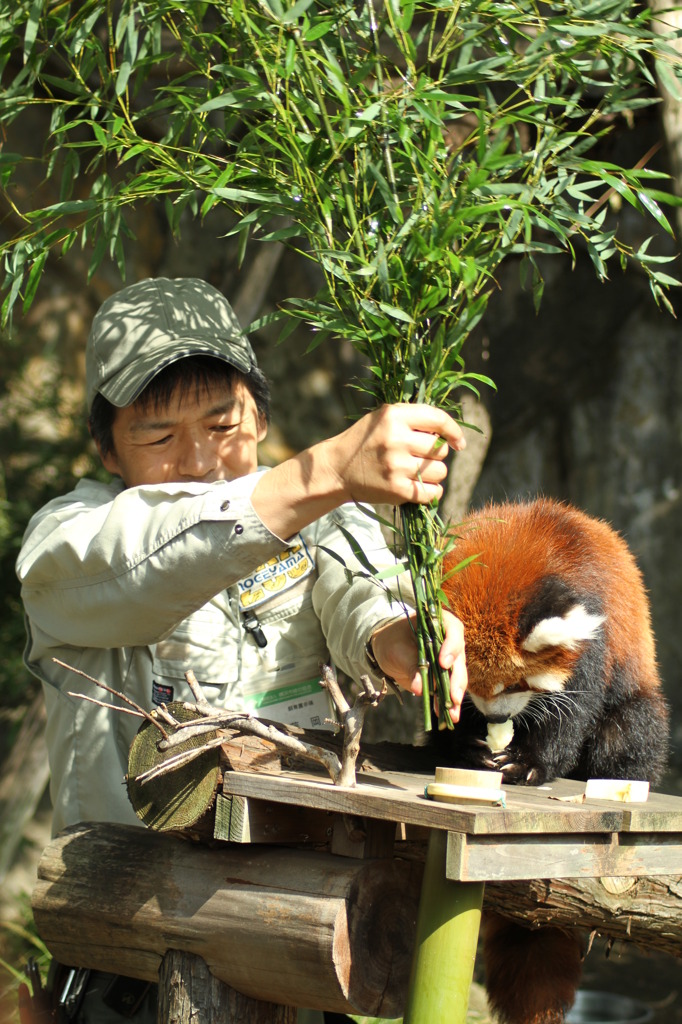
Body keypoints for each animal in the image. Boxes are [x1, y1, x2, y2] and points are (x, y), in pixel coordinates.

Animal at [432, 499, 667, 1024]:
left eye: (516, 685)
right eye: (469, 683)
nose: (496, 718)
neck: (519, 549)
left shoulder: (595, 636)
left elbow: (572, 714)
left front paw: (528, 765)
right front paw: (467, 746)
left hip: (636, 703)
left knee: (631, 730)